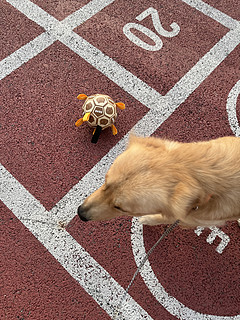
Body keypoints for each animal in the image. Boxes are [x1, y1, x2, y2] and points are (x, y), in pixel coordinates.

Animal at [78, 135, 240, 228]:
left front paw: (149, 219)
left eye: (120, 208)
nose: (80, 213)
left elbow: (168, 218)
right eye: (105, 183)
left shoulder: (196, 218)